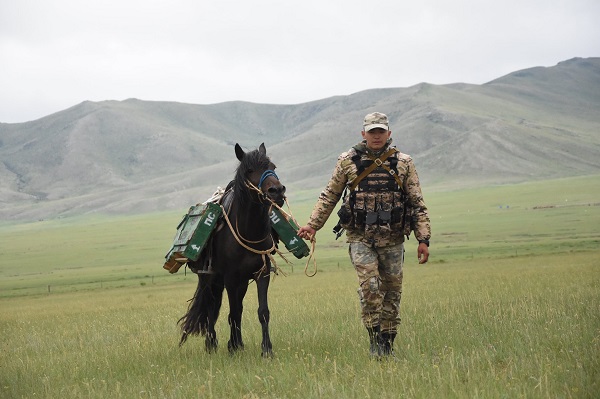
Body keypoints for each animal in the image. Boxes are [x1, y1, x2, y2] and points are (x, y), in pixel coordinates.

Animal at [178, 144, 286, 360]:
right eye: (250, 170)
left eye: (273, 166)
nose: (277, 191)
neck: (248, 230)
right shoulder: (230, 278)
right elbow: (233, 313)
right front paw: (234, 347)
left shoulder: (262, 274)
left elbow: (262, 312)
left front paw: (266, 349)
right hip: (209, 280)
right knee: (211, 309)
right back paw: (211, 344)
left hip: (240, 282)